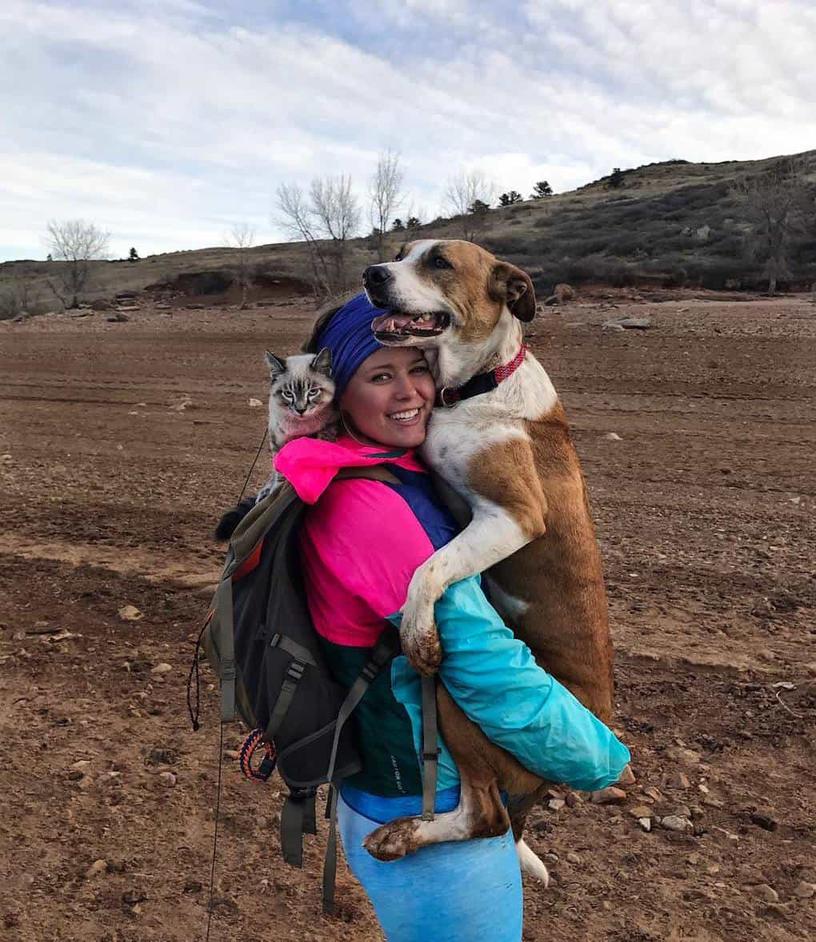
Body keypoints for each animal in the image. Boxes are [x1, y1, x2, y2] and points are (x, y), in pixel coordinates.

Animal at [360, 240, 616, 880]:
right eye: (401, 254)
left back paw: (404, 835)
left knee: (487, 816)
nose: (372, 275)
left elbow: (431, 567)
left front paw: (418, 632)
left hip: (452, 699)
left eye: (440, 263)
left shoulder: (514, 516)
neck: (477, 385)